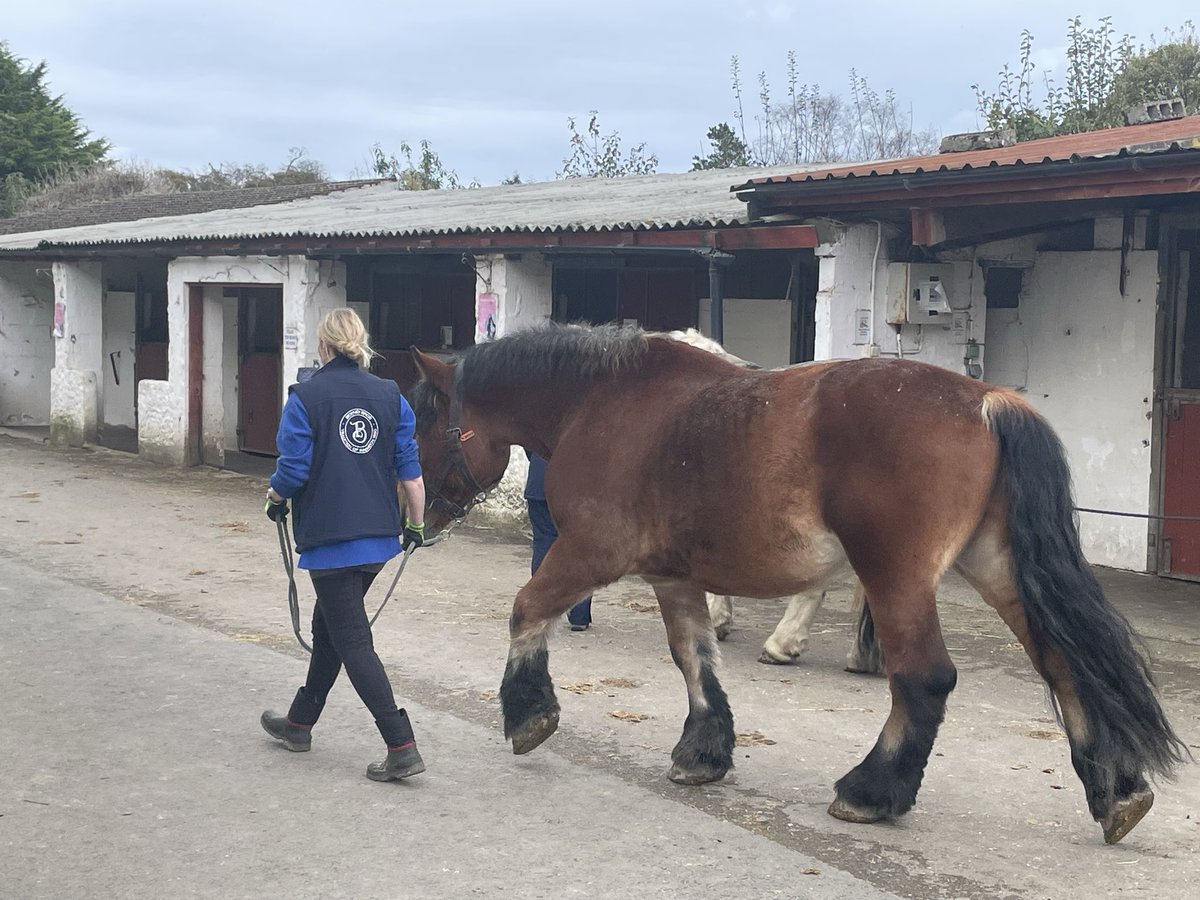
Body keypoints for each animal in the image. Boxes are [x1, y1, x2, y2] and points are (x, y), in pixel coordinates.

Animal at [408, 322, 1185, 845]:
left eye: (426, 417)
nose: (418, 518)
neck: (602, 402)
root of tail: (988, 400)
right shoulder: (672, 576)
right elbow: (693, 657)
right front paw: (704, 750)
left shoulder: (589, 554)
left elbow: (526, 610)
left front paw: (528, 714)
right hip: (996, 567)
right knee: (1062, 663)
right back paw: (1116, 790)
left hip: (896, 576)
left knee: (925, 678)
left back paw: (872, 789)